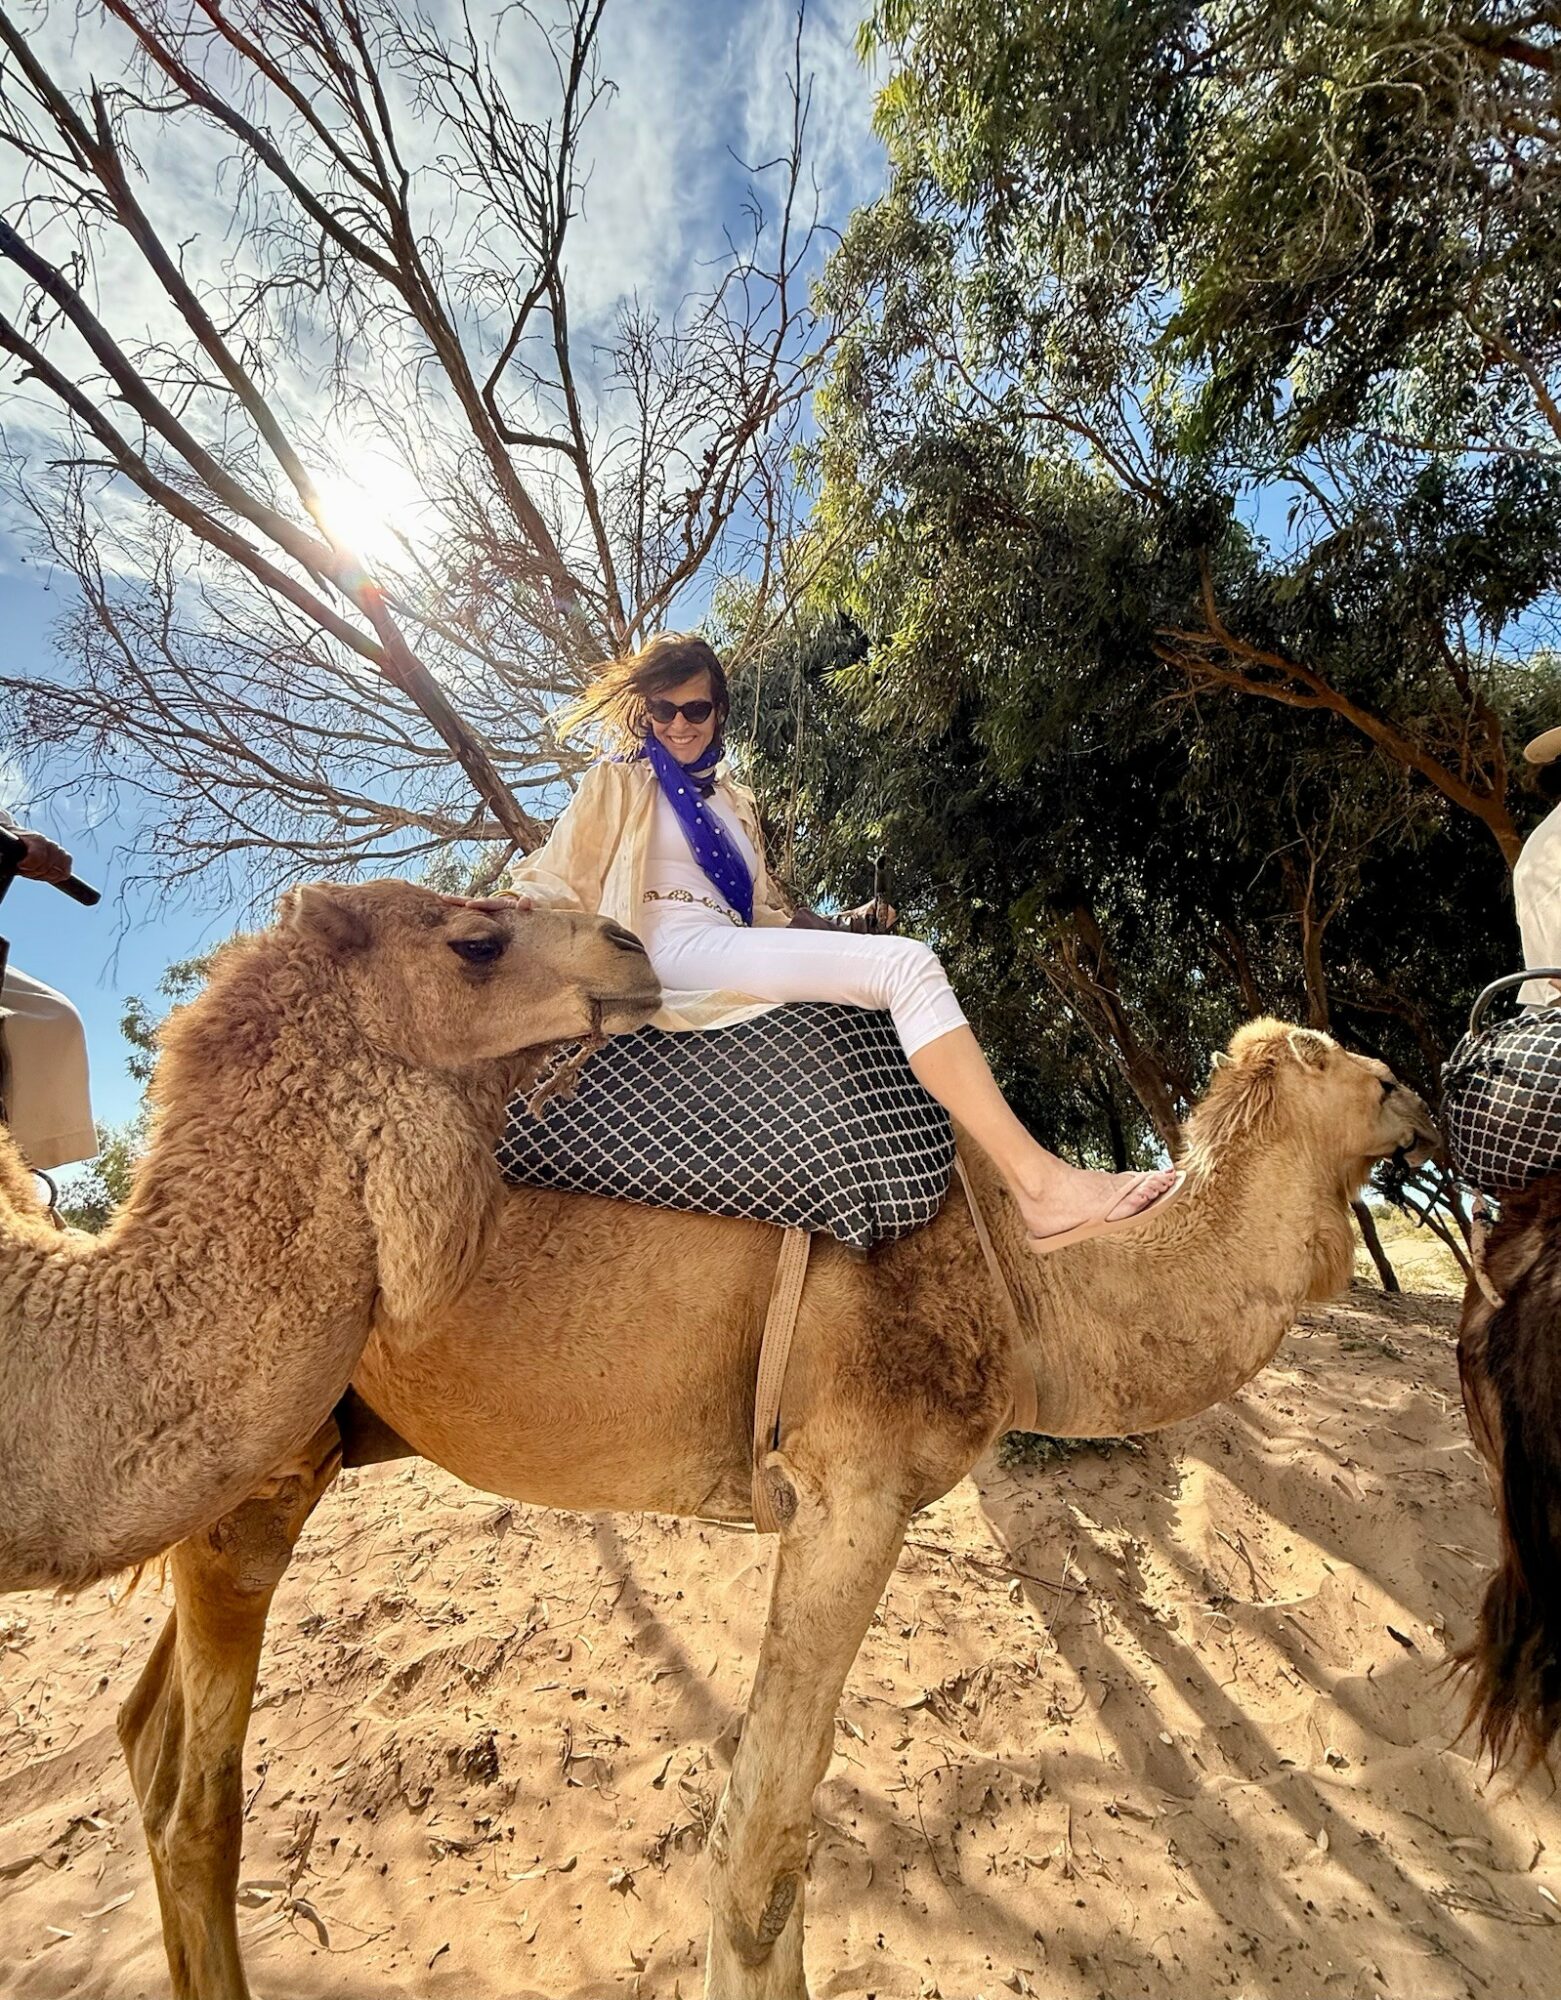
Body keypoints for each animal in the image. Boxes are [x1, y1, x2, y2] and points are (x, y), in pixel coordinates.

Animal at [100, 1015, 1435, 1999]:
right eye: (1341, 1061)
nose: (1416, 1089)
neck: (1025, 1273)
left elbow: (788, 1831)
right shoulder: (854, 1488)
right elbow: (762, 1842)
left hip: (293, 1450)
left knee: (148, 1733)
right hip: (252, 1441)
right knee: (194, 1797)